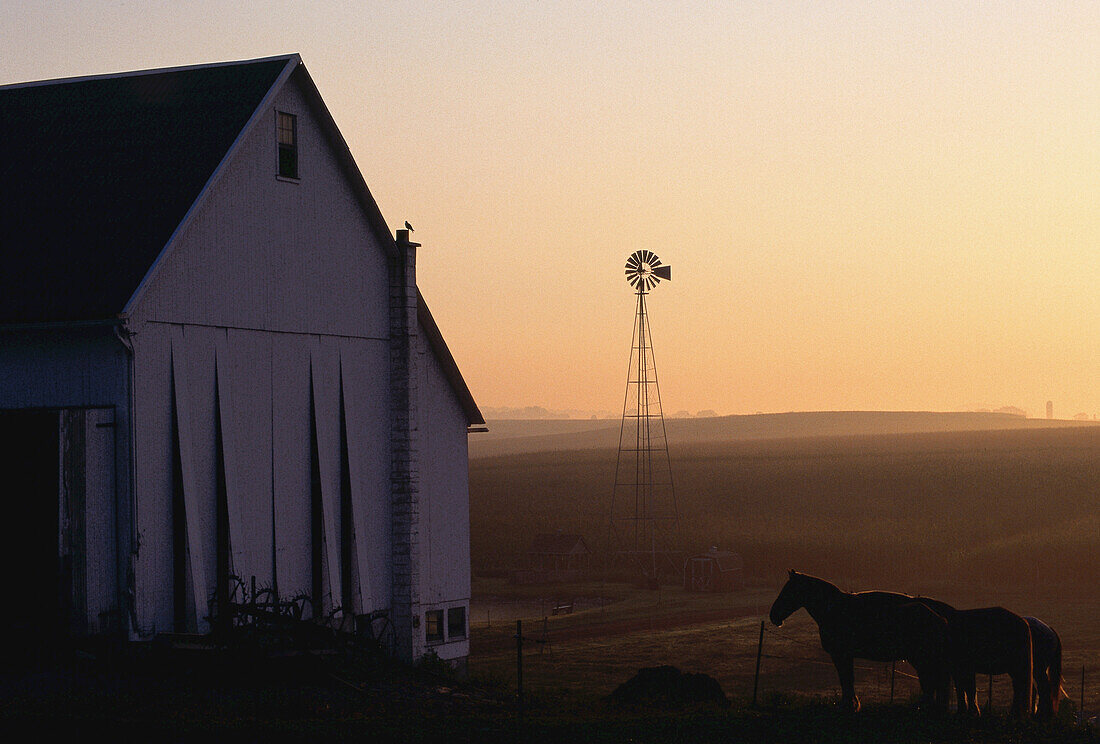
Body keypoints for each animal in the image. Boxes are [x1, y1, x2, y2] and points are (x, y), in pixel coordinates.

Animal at [770, 572, 950, 713]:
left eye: (788, 590)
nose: (773, 616)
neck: (834, 609)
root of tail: (940, 618)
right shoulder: (846, 656)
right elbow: (848, 679)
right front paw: (852, 705)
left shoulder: (840, 655)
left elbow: (846, 679)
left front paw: (848, 705)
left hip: (920, 658)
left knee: (930, 682)